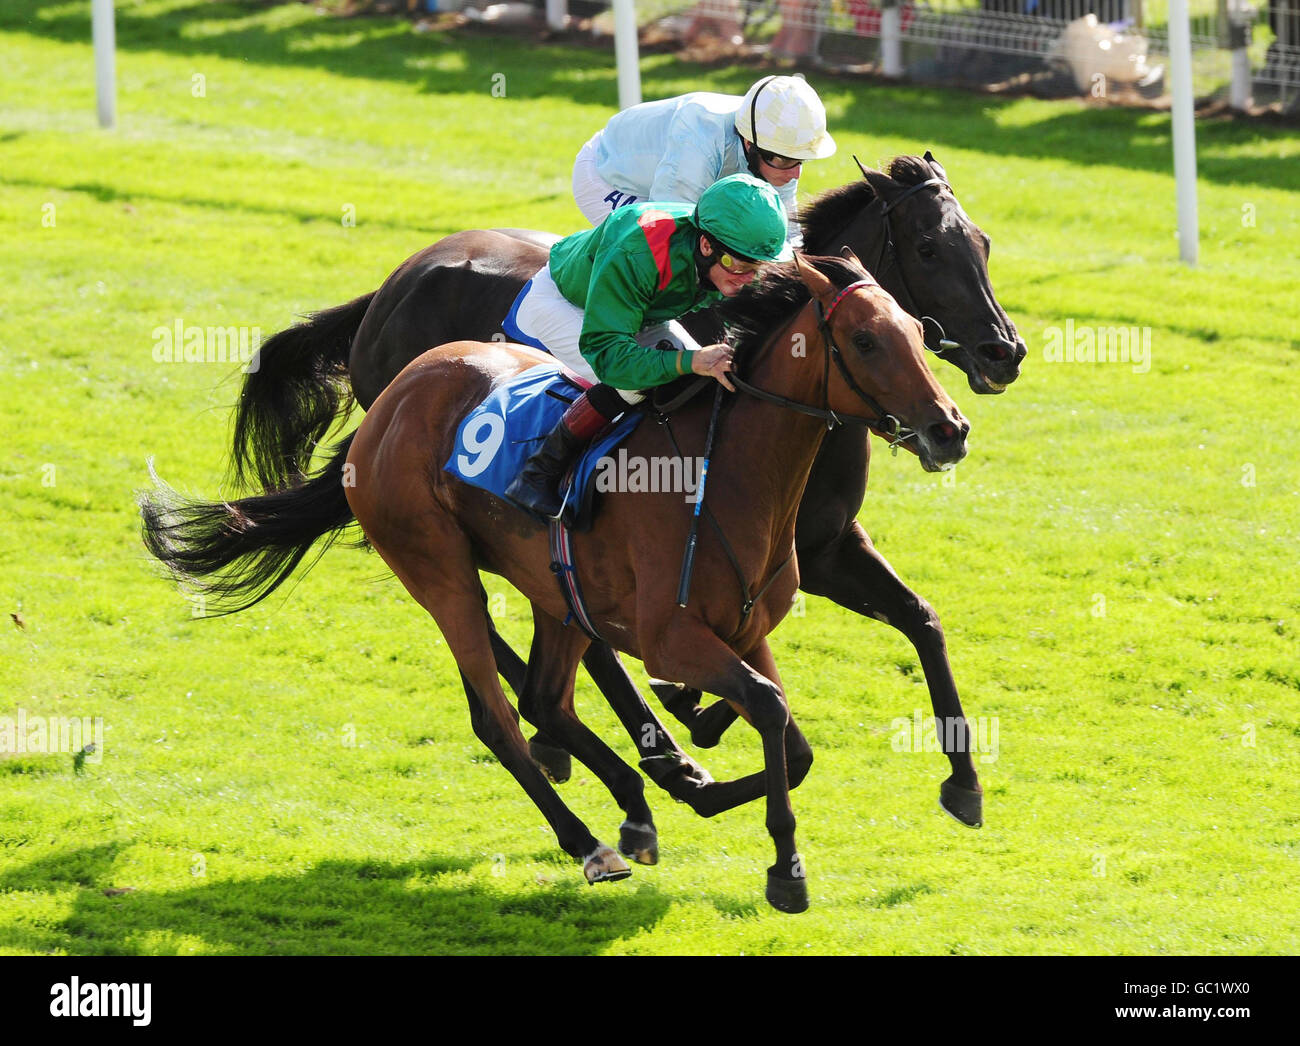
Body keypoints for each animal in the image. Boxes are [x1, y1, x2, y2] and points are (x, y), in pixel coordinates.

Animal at [141, 254, 970, 912]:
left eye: (918, 331)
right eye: (866, 340)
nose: (950, 429)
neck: (725, 474)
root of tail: (390, 401)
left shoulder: (745, 627)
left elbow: (790, 741)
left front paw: (700, 777)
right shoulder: (673, 638)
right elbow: (766, 712)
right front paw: (782, 866)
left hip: (556, 589)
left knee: (547, 698)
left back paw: (639, 802)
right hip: (441, 572)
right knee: (498, 717)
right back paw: (590, 840)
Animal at [229, 153, 1022, 826]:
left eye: (982, 243)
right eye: (928, 249)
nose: (1003, 353)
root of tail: (392, 286)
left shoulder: (823, 548)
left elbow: (921, 619)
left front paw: (963, 781)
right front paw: (690, 711)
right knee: (517, 630)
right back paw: (637, 752)